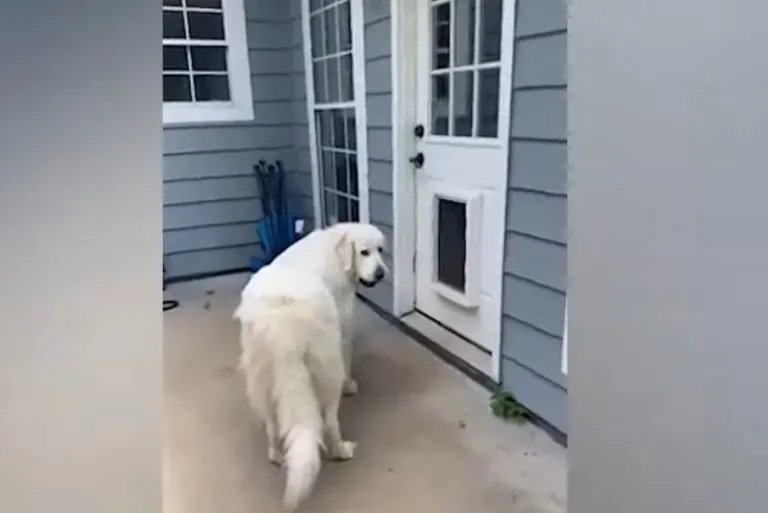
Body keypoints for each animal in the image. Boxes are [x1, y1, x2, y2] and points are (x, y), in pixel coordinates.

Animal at [234, 266, 356, 510]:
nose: (379, 274)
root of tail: (282, 324)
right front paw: (350, 385)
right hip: (328, 369)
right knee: (330, 423)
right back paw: (342, 450)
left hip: (260, 377)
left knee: (272, 427)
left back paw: (276, 455)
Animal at [268, 222, 390, 394]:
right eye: (364, 252)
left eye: (380, 250)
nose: (381, 274)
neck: (338, 256)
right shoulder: (342, 322)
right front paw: (346, 383)